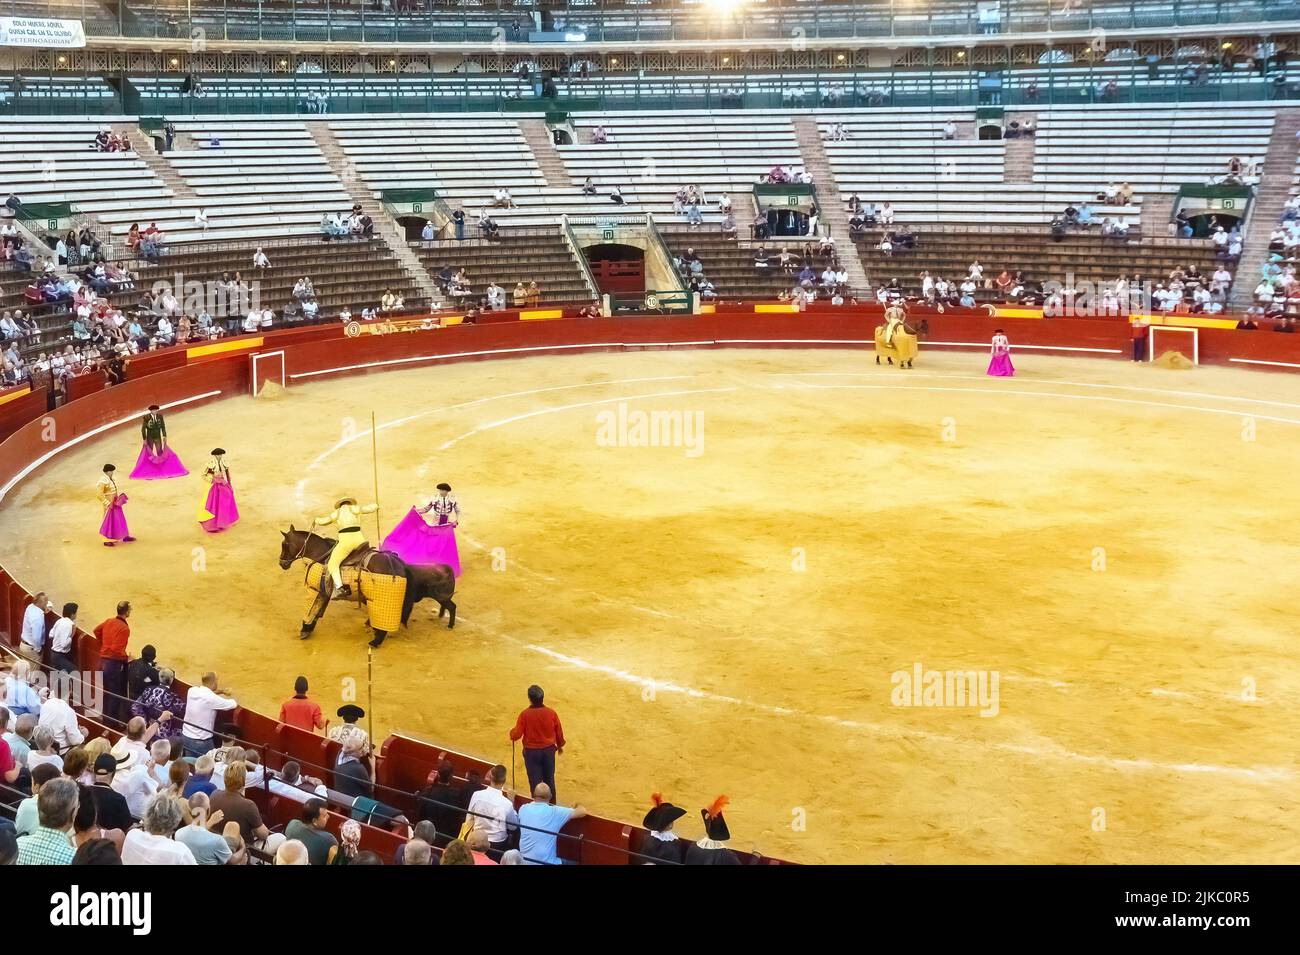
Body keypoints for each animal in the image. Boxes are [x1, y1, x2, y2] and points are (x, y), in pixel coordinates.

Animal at [276, 527, 454, 647]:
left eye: (285, 544)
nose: (282, 563)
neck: (322, 554)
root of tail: (401, 565)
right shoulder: (326, 592)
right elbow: (318, 611)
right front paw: (308, 628)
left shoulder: (319, 591)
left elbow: (313, 609)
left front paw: (305, 630)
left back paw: (375, 642)